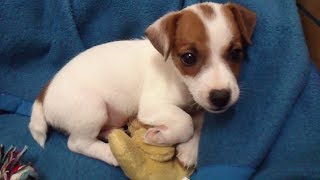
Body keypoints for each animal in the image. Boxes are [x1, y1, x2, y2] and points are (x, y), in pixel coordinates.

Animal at [28, 1, 256, 167]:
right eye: (189, 58)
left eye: (236, 53)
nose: (221, 97)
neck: (176, 75)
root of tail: (44, 93)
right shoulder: (152, 106)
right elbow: (186, 122)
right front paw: (160, 137)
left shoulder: (199, 103)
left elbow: (199, 121)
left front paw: (190, 150)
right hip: (92, 109)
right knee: (77, 143)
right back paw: (111, 153)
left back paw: (113, 134)